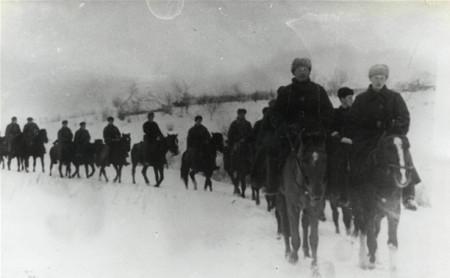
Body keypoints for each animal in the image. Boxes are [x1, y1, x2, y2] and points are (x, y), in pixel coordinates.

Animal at [274, 131, 326, 274]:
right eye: (304, 160)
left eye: (324, 159)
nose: (317, 193)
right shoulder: (292, 206)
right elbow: (294, 235)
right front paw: (293, 258)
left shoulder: (313, 207)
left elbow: (314, 239)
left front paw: (315, 266)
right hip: (281, 200)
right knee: (285, 224)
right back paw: (288, 252)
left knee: (304, 224)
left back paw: (306, 252)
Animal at [350, 134, 416, 272]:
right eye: (389, 149)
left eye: (407, 147)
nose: (403, 176)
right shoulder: (369, 213)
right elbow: (370, 240)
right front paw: (370, 264)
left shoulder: (393, 213)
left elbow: (392, 243)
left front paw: (393, 269)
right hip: (358, 210)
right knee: (363, 232)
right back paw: (363, 260)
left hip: (378, 216)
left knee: (374, 232)